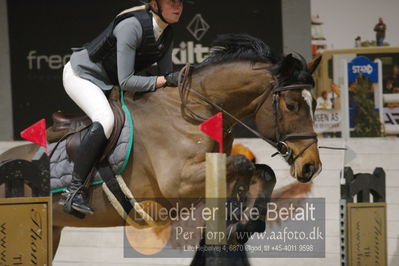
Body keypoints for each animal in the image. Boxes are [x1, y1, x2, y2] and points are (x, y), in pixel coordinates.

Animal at [0, 33, 322, 260]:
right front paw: (236, 224)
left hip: (49, 232)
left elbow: (263, 170)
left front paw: (241, 226)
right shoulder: (177, 184)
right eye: (292, 106)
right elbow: (244, 165)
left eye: (315, 104)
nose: (311, 166)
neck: (193, 111)